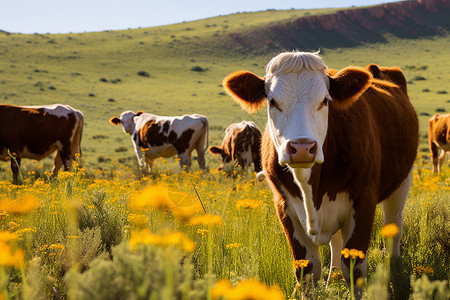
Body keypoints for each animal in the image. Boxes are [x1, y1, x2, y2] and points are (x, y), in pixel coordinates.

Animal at [223, 51, 420, 296]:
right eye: (272, 101)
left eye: (325, 100)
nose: (302, 147)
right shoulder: (284, 206)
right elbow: (307, 271)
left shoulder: (364, 201)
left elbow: (354, 269)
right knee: (336, 243)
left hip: (402, 182)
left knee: (394, 228)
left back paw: (395, 271)